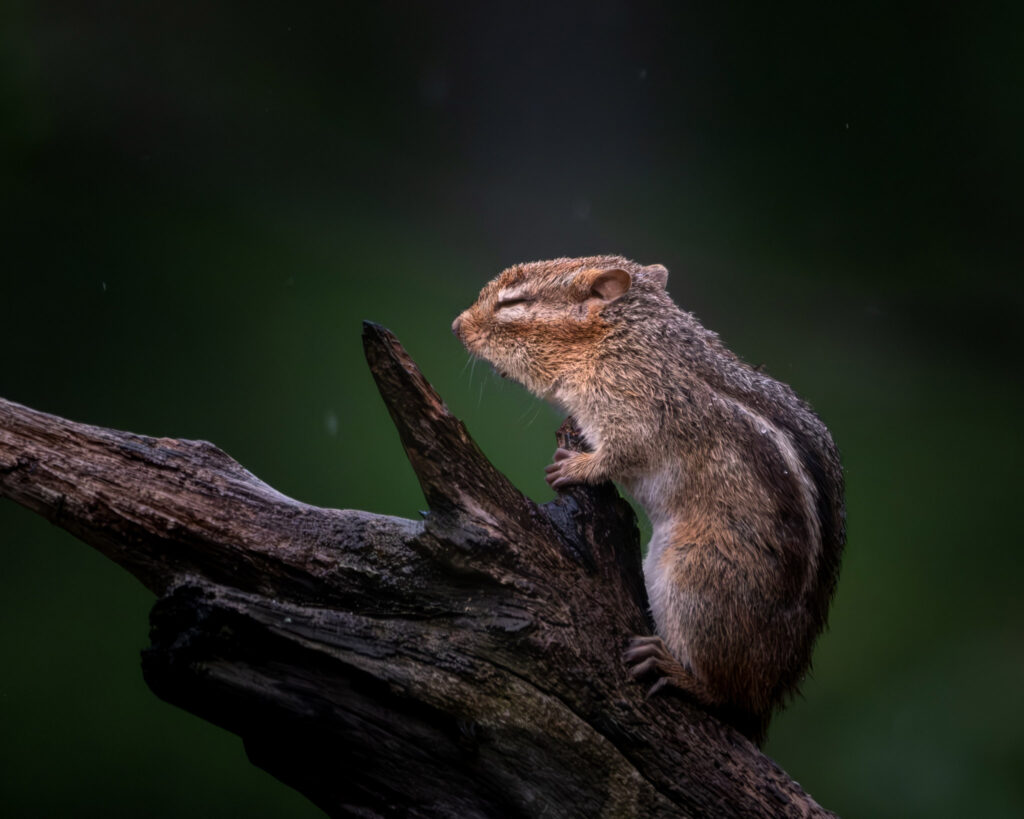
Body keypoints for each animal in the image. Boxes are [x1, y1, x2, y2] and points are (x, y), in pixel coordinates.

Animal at [451, 255, 845, 744]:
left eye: (513, 303)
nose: (456, 326)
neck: (625, 340)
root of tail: (770, 694)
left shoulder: (635, 411)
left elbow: (622, 453)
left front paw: (576, 467)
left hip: (694, 585)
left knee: (727, 694)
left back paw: (679, 673)